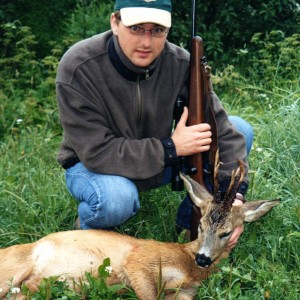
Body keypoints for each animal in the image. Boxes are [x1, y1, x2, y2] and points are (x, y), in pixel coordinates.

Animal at [0, 159, 282, 298]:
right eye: (200, 226)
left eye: (226, 233)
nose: (203, 258)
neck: (188, 265)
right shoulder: (139, 261)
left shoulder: (185, 293)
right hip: (12, 270)